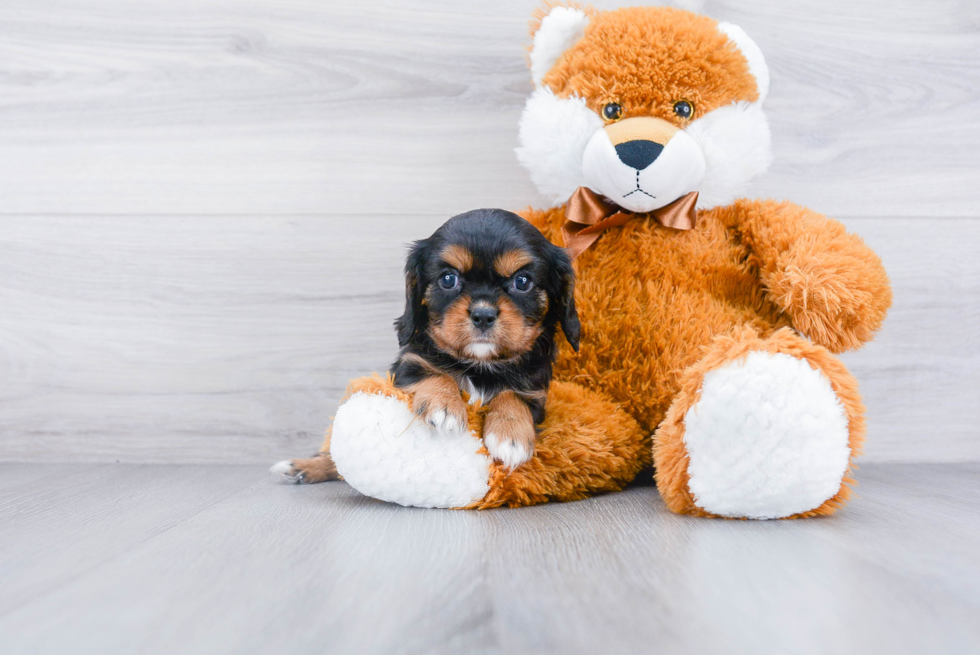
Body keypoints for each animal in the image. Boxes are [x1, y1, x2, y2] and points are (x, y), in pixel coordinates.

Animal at [388, 208, 580, 468]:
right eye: (448, 279)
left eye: (522, 281)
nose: (483, 315)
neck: (482, 365)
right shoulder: (409, 363)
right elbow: (434, 372)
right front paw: (444, 407)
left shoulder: (535, 392)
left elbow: (513, 395)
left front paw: (510, 435)